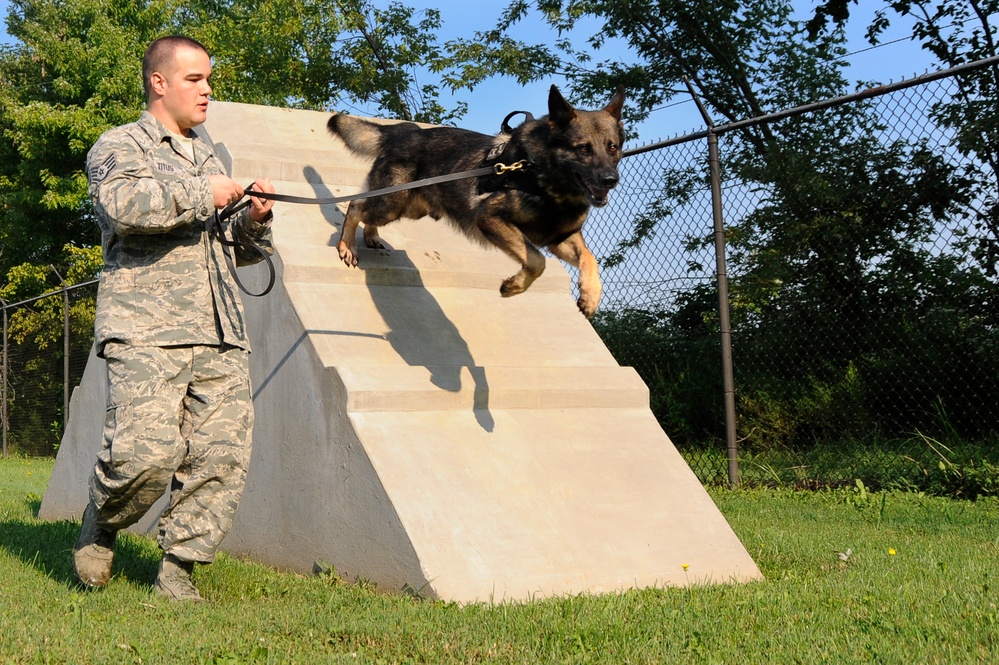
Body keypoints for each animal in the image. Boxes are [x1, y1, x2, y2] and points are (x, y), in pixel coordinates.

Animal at [328, 84, 624, 318]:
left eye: (613, 147)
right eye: (583, 149)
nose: (611, 179)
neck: (539, 172)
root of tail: (402, 131)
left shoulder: (561, 239)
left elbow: (589, 258)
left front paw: (590, 296)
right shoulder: (491, 218)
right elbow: (537, 261)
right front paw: (514, 286)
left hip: (407, 207)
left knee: (368, 210)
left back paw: (371, 236)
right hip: (392, 202)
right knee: (356, 206)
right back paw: (347, 245)